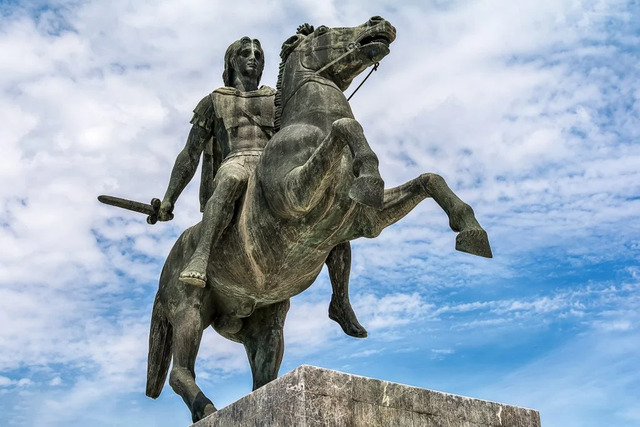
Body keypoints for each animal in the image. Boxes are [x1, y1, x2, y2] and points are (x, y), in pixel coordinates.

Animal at [146, 15, 490, 422]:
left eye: (255, 55)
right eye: (324, 30)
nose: (379, 22)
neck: (310, 125)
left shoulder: (367, 220)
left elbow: (430, 179)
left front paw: (471, 230)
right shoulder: (293, 197)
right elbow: (346, 126)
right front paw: (370, 172)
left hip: (265, 324)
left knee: (262, 375)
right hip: (189, 311)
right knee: (180, 372)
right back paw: (207, 406)